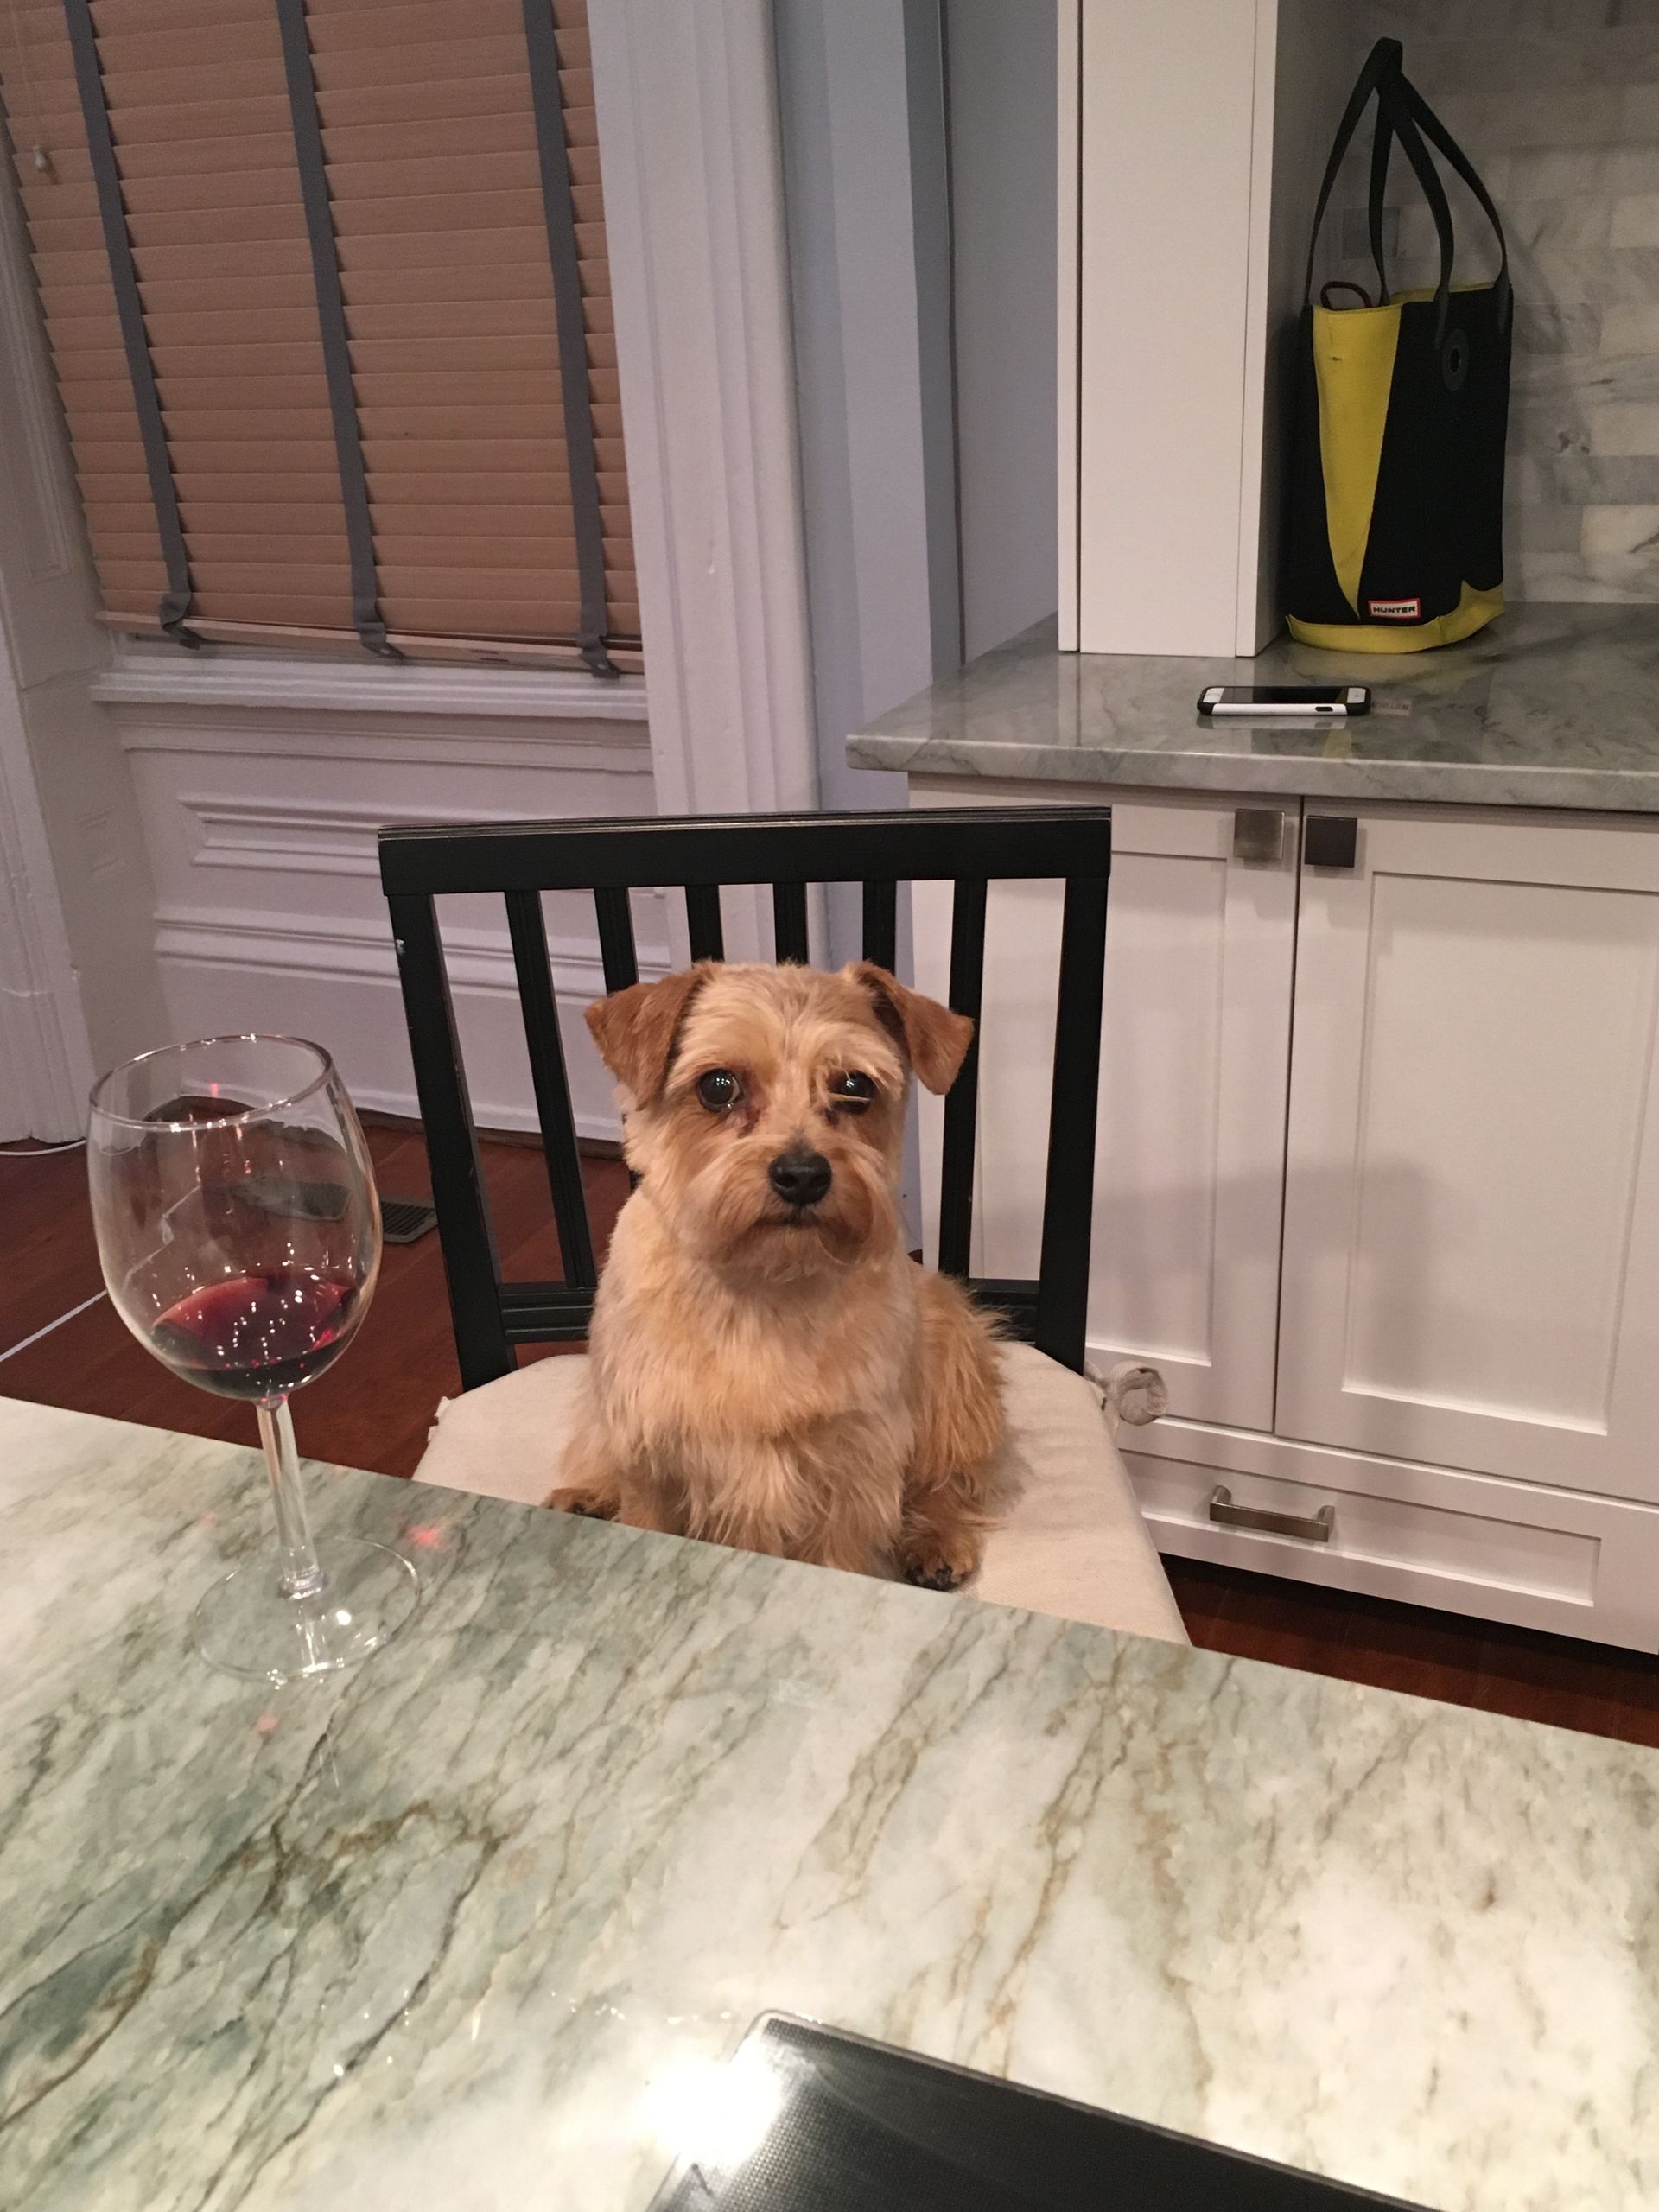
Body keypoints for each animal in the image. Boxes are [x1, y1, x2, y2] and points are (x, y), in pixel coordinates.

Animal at [549, 959, 1006, 1587]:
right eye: (718, 1086)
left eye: (855, 1086)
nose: (804, 1175)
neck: (764, 1282)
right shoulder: (652, 1458)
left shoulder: (848, 1467)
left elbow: (839, 1553)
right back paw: (589, 1496)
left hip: (953, 1367)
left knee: (949, 1477)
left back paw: (938, 1540)